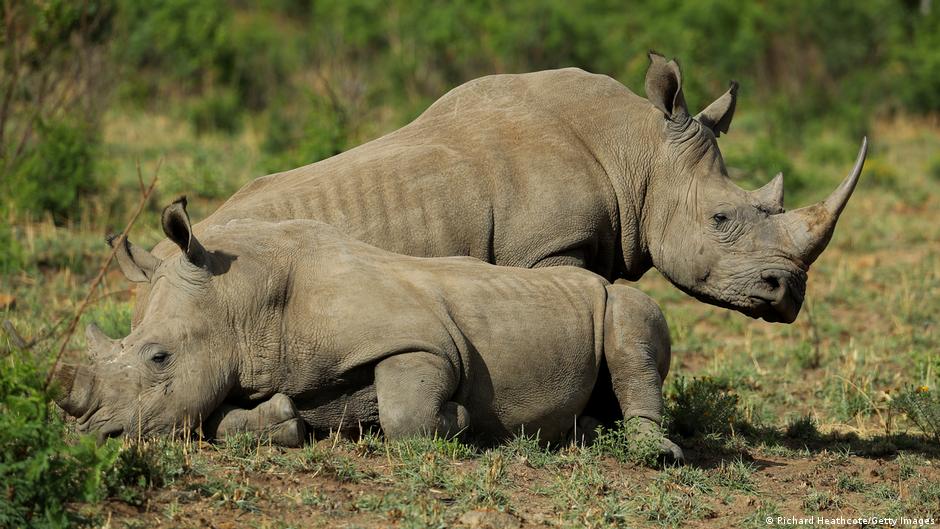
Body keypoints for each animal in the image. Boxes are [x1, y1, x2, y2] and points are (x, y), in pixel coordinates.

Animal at [55, 198, 680, 458]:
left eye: (158, 357)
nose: (95, 434)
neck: (243, 302)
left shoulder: (423, 340)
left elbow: (407, 412)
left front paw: (460, 420)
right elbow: (216, 421)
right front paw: (286, 421)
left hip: (617, 301)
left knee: (630, 321)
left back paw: (654, 453)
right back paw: (588, 432)